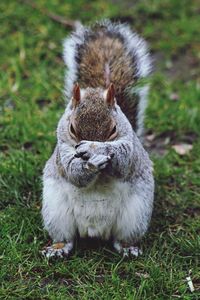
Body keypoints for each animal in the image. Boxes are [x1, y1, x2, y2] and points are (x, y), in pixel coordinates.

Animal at [41, 20, 155, 258]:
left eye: (113, 129)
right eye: (72, 128)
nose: (82, 147)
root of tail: (94, 230)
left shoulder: (130, 148)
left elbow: (122, 162)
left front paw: (97, 150)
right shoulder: (63, 152)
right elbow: (74, 172)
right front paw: (90, 164)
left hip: (134, 216)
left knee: (121, 239)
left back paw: (128, 247)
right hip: (57, 213)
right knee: (66, 238)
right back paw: (58, 248)